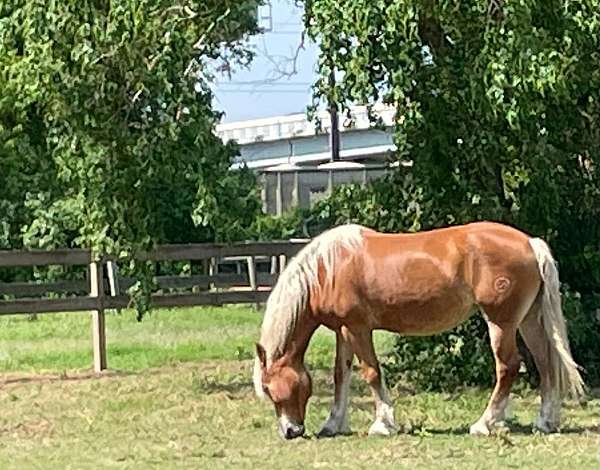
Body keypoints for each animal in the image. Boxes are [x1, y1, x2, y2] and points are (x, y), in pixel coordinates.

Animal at [252, 222, 580, 438]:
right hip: (528, 320)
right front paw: (333, 424)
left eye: (269, 387)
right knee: (546, 363)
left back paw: (483, 424)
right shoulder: (342, 331)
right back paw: (545, 422)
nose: (291, 431)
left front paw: (382, 424)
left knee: (508, 367)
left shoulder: (358, 328)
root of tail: (529, 243)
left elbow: (371, 372)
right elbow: (340, 376)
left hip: (501, 322)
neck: (327, 270)